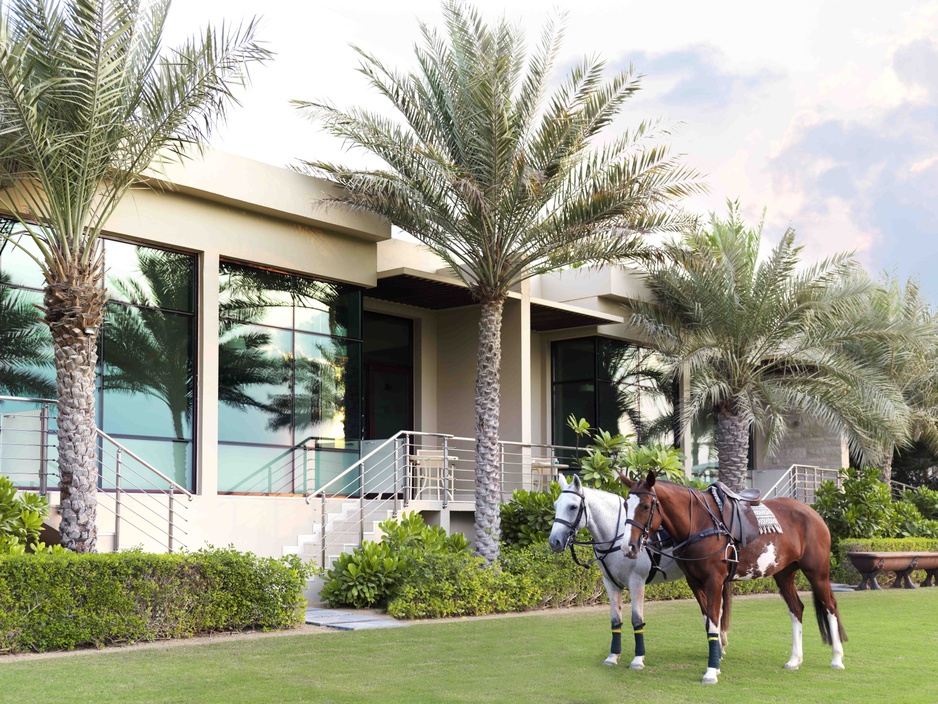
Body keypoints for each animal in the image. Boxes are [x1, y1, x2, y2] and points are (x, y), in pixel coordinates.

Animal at [548, 476, 680, 668]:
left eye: (572, 506)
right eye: (556, 505)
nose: (554, 541)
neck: (619, 536)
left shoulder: (637, 582)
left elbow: (637, 619)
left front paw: (638, 659)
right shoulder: (610, 583)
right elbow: (615, 620)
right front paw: (613, 656)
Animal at [616, 470, 844, 684]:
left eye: (646, 506)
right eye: (626, 504)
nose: (628, 547)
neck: (699, 522)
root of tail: (812, 512)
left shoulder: (714, 581)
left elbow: (714, 621)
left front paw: (711, 671)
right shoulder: (695, 583)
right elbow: (709, 621)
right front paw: (716, 660)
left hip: (817, 573)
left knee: (830, 606)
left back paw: (837, 658)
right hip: (784, 574)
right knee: (796, 609)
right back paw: (794, 660)